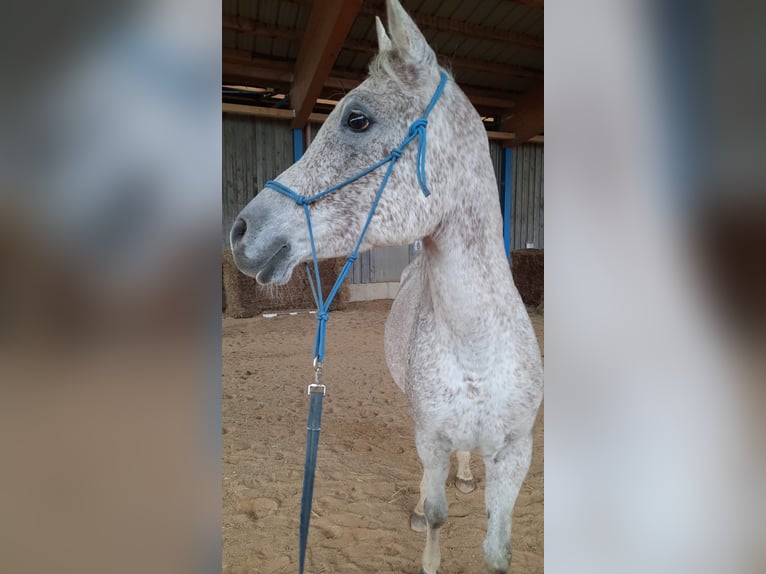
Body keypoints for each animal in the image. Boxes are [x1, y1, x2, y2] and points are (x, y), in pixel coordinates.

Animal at [231, 2, 544, 572]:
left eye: (357, 119)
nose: (241, 231)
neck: (477, 347)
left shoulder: (516, 454)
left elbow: (498, 550)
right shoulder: (431, 436)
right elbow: (438, 515)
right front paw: (426, 528)